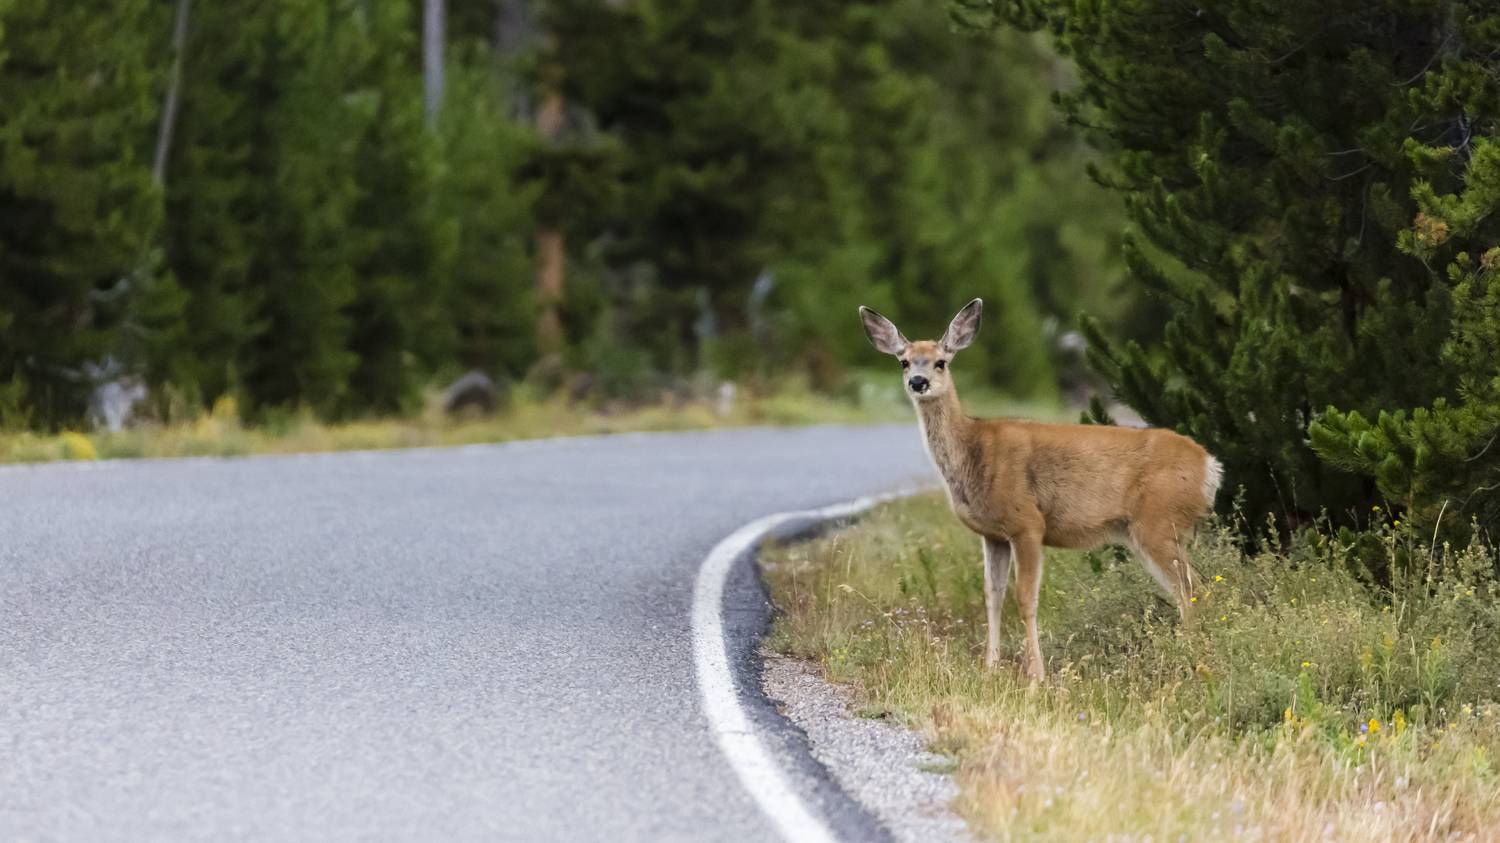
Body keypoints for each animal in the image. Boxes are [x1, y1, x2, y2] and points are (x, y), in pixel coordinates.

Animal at [858, 298, 1218, 678]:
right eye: (904, 361)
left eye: (941, 361)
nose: (918, 381)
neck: (973, 452)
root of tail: (1210, 466)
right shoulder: (993, 535)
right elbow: (992, 596)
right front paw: (990, 668)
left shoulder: (1027, 523)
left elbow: (1026, 599)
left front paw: (1036, 676)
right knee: (1190, 587)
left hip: (1160, 522)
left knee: (1192, 586)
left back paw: (1192, 658)